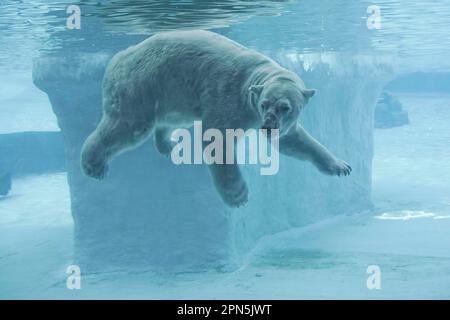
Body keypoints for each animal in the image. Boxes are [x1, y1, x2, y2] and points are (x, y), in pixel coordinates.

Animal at [82, 30, 354, 208]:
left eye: (285, 107)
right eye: (265, 104)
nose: (267, 127)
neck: (254, 78)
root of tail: (117, 58)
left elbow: (292, 140)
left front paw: (340, 166)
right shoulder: (230, 98)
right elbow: (217, 138)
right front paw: (238, 195)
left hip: (171, 93)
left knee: (169, 120)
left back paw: (169, 144)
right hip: (141, 85)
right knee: (127, 126)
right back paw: (94, 165)